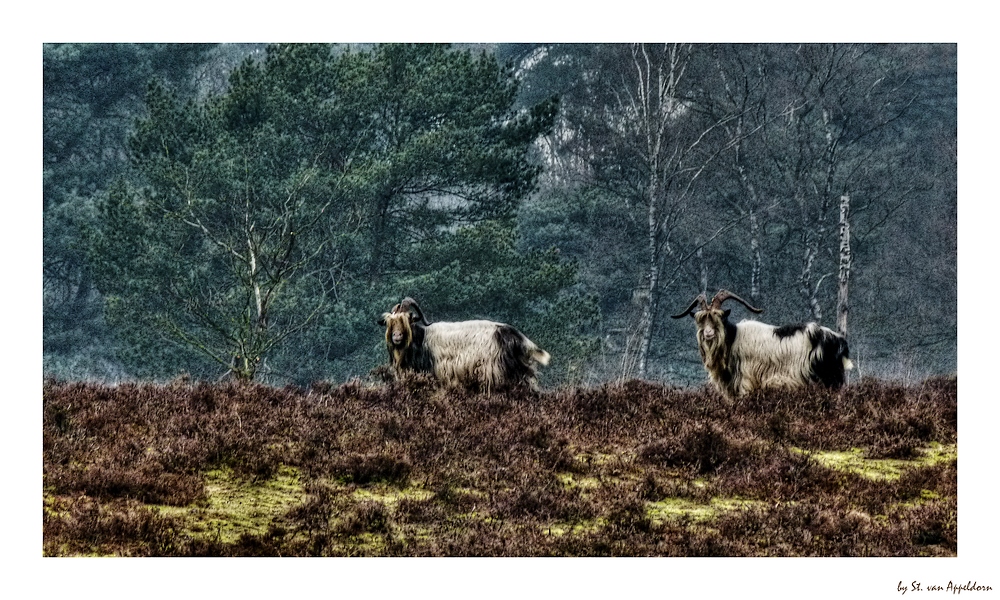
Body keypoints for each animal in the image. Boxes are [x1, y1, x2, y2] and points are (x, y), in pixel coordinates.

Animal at [672, 290, 852, 398]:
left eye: (718, 317)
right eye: (701, 319)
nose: (708, 334)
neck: (732, 339)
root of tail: (840, 341)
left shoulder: (746, 382)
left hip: (828, 379)